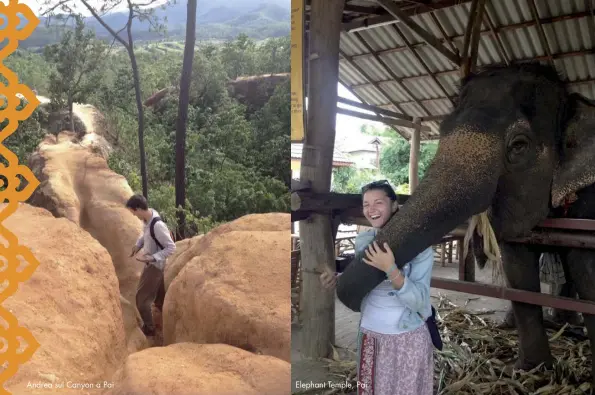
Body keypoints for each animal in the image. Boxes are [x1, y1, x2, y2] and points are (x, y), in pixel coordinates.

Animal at [336, 64, 595, 380]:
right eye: (443, 130)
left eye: (519, 146)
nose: (340, 274)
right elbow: (518, 269)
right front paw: (529, 371)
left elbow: (584, 266)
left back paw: (568, 323)